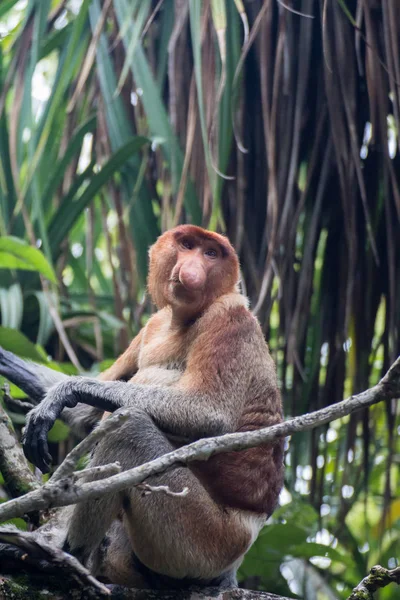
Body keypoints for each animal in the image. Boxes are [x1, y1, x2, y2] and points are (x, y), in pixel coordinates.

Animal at [0, 227, 284, 588]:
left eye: (210, 254)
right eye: (187, 245)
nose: (191, 270)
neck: (181, 321)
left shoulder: (230, 318)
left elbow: (209, 413)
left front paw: (65, 392)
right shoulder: (153, 325)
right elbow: (85, 416)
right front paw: (6, 360)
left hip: (203, 542)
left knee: (130, 429)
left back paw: (60, 559)